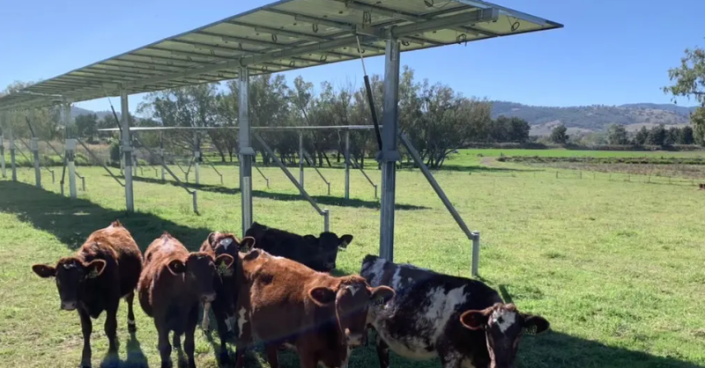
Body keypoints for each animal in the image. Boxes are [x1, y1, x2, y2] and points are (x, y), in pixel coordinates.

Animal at [30, 221, 142, 368]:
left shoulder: (112, 302)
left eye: (81, 278)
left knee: (129, 300)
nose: (68, 304)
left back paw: (131, 323)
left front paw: (112, 353)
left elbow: (109, 326)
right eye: (57, 279)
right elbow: (86, 329)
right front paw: (85, 358)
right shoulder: (80, 306)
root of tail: (116, 224)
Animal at [137, 233, 234, 368]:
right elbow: (164, 348)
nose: (209, 296)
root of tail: (165, 235)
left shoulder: (191, 319)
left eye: (213, 270)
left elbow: (189, 346)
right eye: (191, 273)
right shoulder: (160, 321)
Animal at [198, 231, 256, 364]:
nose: (227, 268)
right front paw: (224, 355)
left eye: (237, 249)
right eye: (216, 250)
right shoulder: (218, 306)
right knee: (206, 306)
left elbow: (238, 331)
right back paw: (205, 325)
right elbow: (222, 329)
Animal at [232, 247, 394, 368]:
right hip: (243, 319)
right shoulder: (307, 354)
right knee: (241, 350)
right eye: (338, 305)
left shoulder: (341, 358)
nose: (354, 337)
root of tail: (257, 251)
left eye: (366, 304)